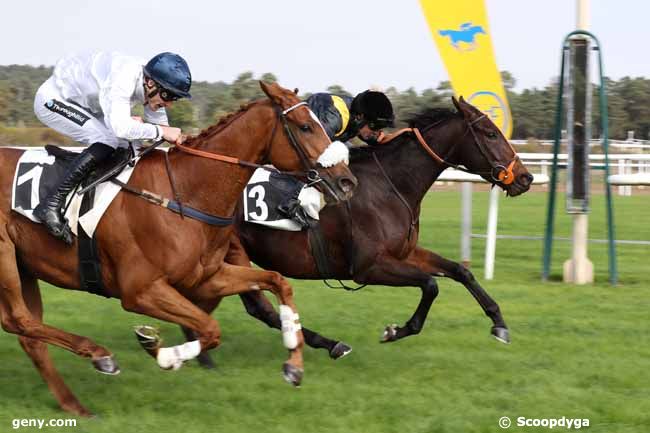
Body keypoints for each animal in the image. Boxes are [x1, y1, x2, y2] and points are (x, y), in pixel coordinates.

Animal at [0, 81, 354, 416]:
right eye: (305, 127)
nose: (347, 182)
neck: (185, 191)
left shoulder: (206, 278)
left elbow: (277, 282)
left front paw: (294, 364)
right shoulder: (140, 291)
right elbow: (210, 328)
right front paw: (160, 351)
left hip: (25, 266)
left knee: (29, 338)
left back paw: (76, 405)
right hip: (6, 259)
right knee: (18, 320)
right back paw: (100, 356)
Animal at [186, 95, 532, 364]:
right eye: (490, 133)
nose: (525, 178)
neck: (392, 185)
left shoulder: (405, 252)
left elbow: (460, 272)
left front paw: (499, 324)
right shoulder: (368, 267)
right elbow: (431, 284)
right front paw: (396, 331)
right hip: (231, 252)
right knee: (259, 307)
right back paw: (328, 344)